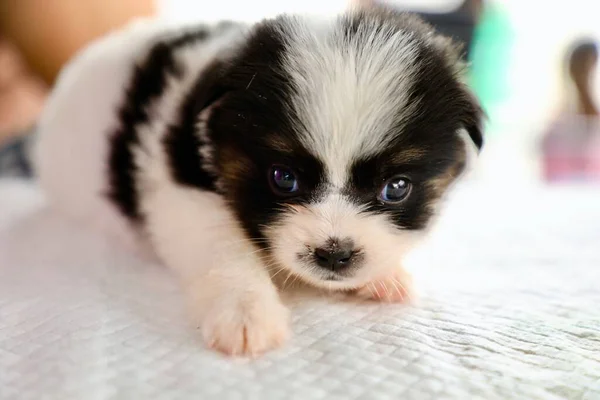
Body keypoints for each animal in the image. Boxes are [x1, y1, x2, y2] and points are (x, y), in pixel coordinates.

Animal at [32, 7, 482, 356]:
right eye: (284, 179)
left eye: (397, 188)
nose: (335, 255)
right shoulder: (184, 193)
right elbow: (224, 246)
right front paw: (244, 312)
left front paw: (383, 274)